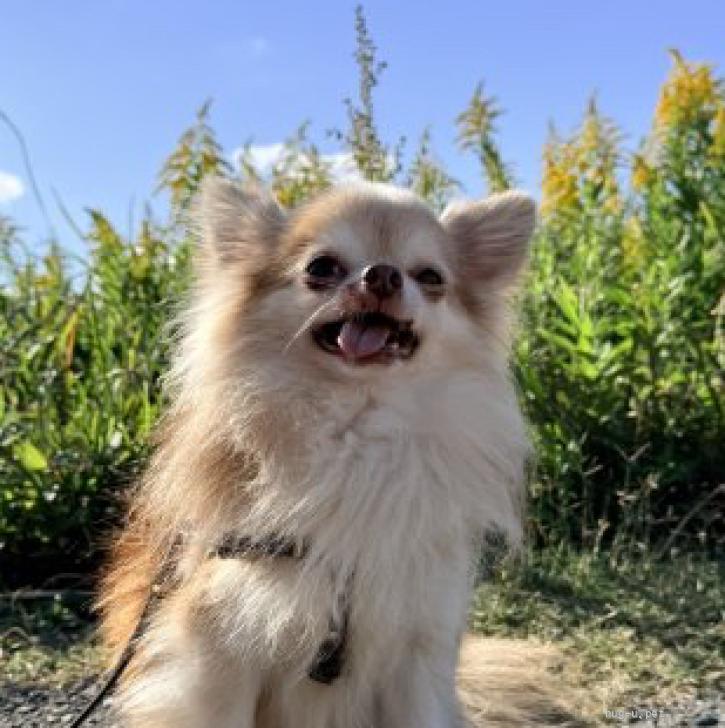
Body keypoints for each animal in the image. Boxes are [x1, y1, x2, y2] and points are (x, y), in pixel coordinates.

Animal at [98, 177, 537, 727]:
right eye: (322, 267)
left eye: (430, 277)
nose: (382, 274)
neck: (355, 427)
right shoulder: (218, 649)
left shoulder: (417, 651)